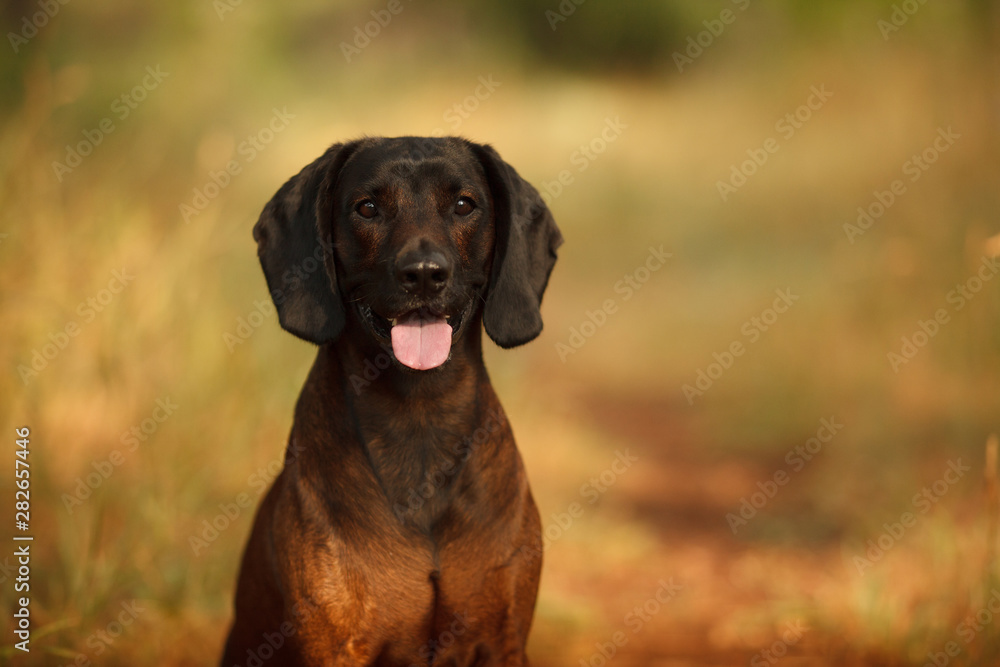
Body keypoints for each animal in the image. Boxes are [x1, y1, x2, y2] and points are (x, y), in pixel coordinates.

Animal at [221, 137, 564, 667]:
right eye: (367, 207)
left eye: (464, 204)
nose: (423, 274)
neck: (419, 417)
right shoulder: (337, 647)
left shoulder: (502, 642)